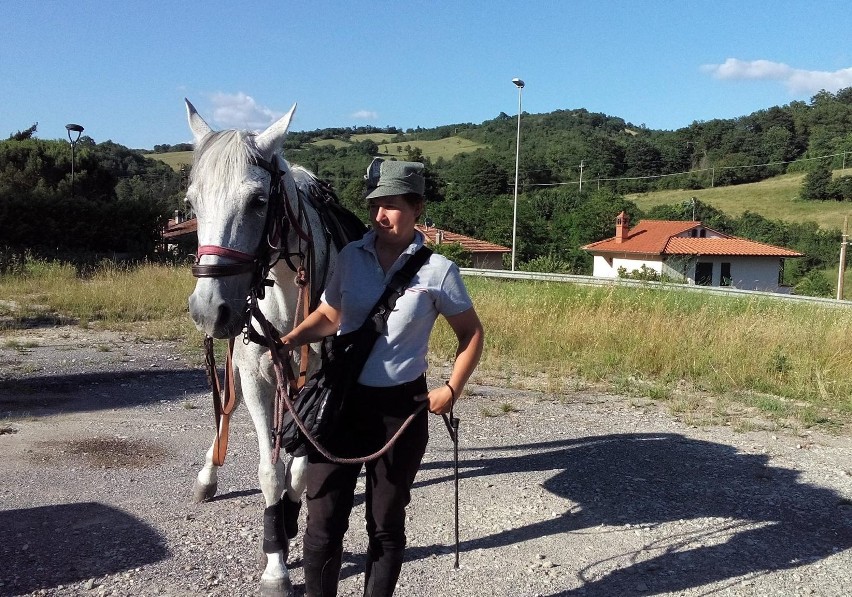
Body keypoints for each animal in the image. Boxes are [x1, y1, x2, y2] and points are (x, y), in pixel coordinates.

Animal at [184, 100, 362, 592]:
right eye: (192, 202)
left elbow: (298, 469)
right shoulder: (257, 378)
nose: (209, 309)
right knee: (227, 406)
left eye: (258, 201)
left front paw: (288, 518)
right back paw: (207, 474)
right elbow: (269, 471)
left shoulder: (315, 392)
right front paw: (275, 562)